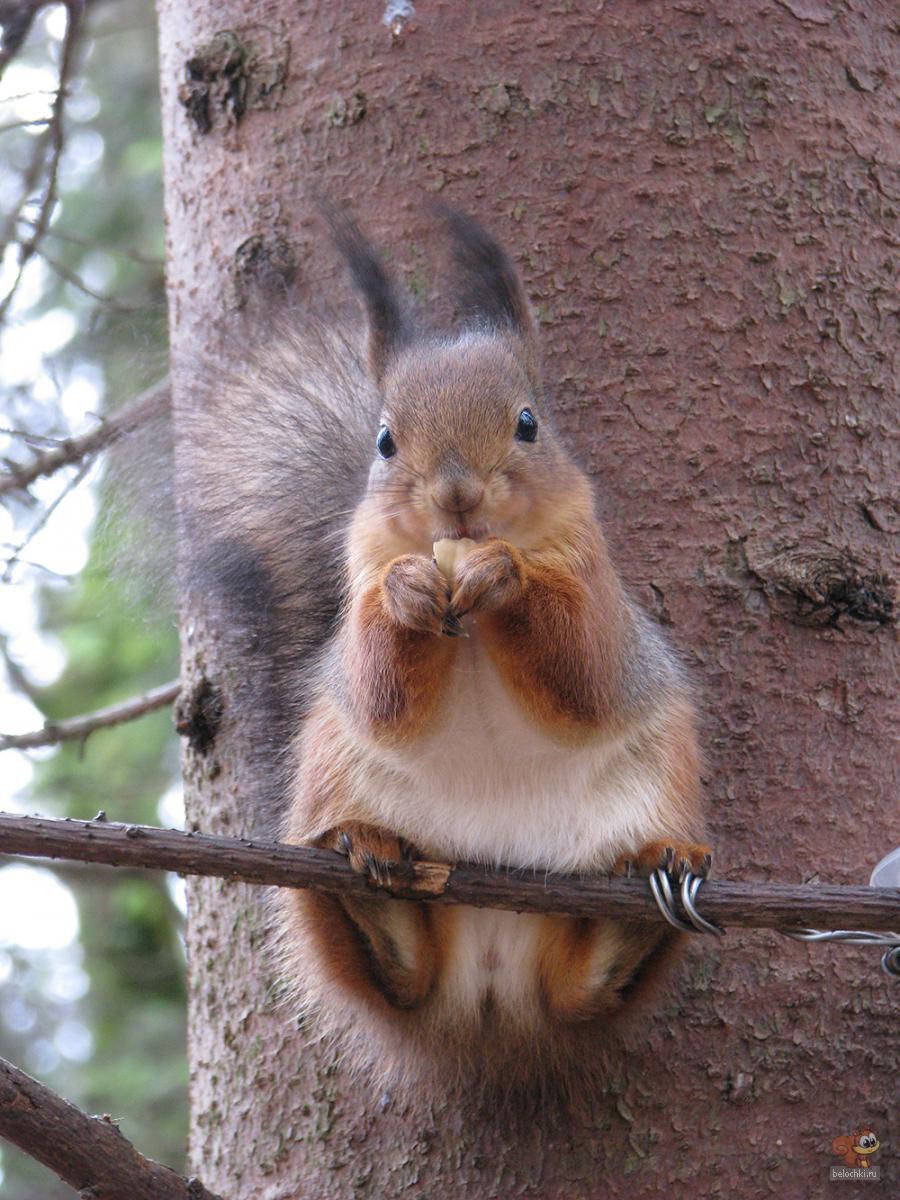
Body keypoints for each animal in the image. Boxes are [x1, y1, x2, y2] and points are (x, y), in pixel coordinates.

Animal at [176, 204, 710, 1099]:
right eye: (385, 441)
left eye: (528, 423)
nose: (457, 494)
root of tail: (490, 998)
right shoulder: (358, 579)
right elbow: (377, 690)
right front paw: (408, 594)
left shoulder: (599, 589)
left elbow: (584, 672)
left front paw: (505, 577)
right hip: (328, 802)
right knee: (398, 971)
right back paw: (371, 873)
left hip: (646, 795)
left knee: (582, 986)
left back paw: (648, 883)